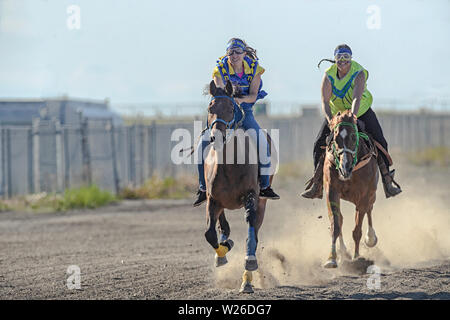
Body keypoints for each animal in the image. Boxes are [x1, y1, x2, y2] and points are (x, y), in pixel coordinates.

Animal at [202, 79, 276, 292]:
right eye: (210, 107)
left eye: (231, 108)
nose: (216, 137)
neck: (229, 165)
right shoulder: (212, 200)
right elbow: (210, 233)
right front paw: (223, 251)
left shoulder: (251, 196)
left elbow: (250, 232)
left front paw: (249, 263)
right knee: (222, 225)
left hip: (262, 201)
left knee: (255, 232)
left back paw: (247, 281)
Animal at [324, 109, 380, 268]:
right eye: (335, 139)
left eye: (354, 137)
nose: (345, 167)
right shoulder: (331, 191)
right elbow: (336, 225)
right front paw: (332, 258)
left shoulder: (364, 196)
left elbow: (357, 230)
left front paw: (357, 258)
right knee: (341, 219)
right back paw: (343, 252)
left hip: (371, 195)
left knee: (369, 210)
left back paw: (371, 238)